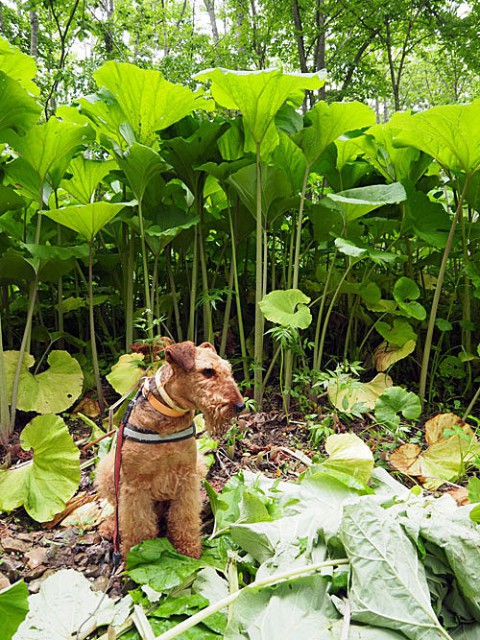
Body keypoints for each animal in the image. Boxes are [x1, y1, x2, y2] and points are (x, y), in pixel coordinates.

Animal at [95, 342, 244, 556]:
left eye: (229, 370)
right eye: (208, 372)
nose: (240, 405)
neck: (168, 419)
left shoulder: (186, 477)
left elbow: (184, 518)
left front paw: (189, 551)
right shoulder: (135, 484)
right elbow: (138, 525)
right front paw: (137, 552)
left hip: (199, 466)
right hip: (108, 470)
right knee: (117, 509)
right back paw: (110, 528)